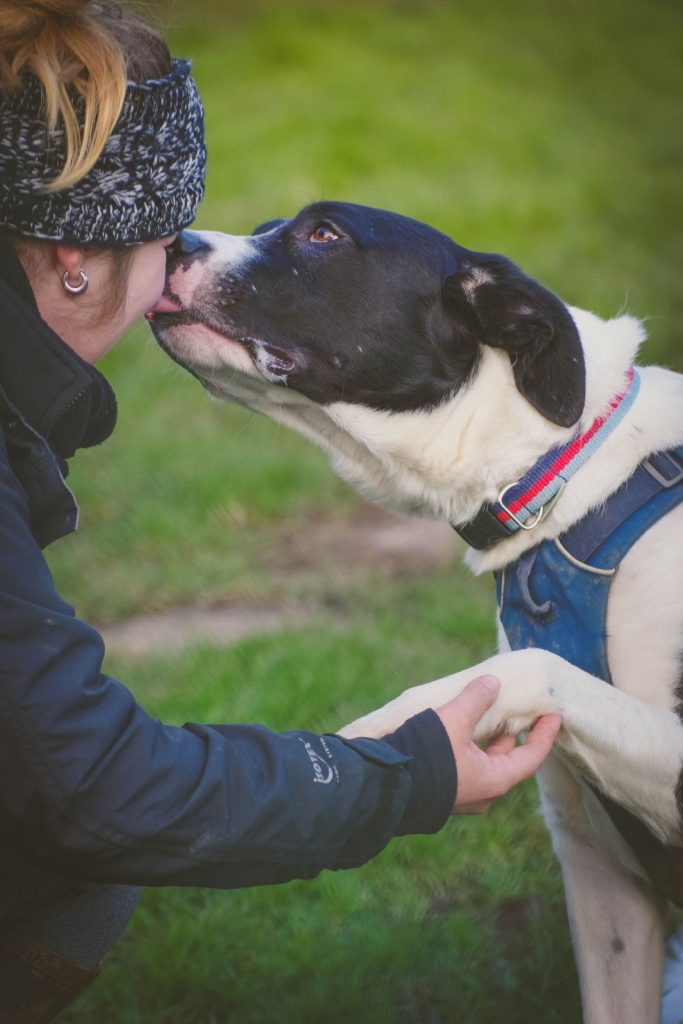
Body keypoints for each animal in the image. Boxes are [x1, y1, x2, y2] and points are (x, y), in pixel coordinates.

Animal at [149, 201, 683, 1024]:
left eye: (324, 233)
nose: (169, 241)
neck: (567, 473)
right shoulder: (603, 874)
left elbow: (529, 663)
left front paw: (379, 730)